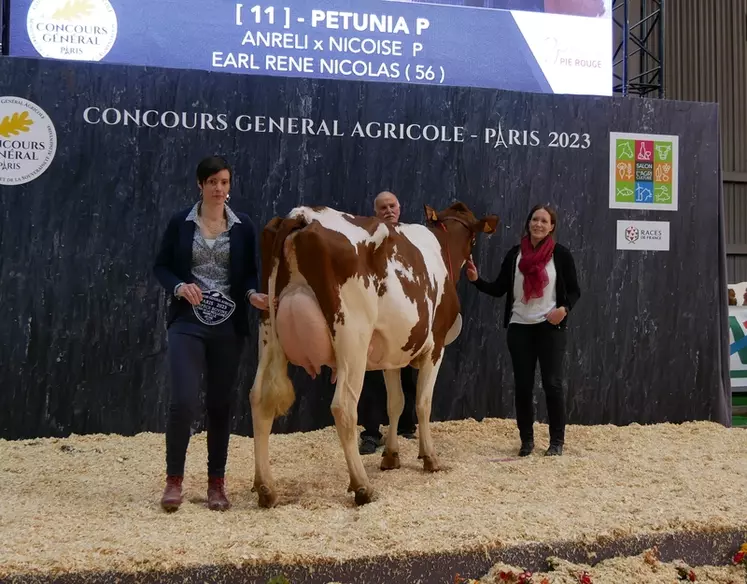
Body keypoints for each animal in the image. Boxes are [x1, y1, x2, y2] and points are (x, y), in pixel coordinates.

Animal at [248, 201, 500, 506]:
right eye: (474, 240)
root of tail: (302, 215)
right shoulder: (436, 346)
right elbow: (423, 403)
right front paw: (430, 457)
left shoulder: (393, 354)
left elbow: (396, 403)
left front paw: (391, 456)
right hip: (352, 336)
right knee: (344, 407)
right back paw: (362, 486)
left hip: (267, 330)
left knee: (259, 399)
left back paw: (266, 488)